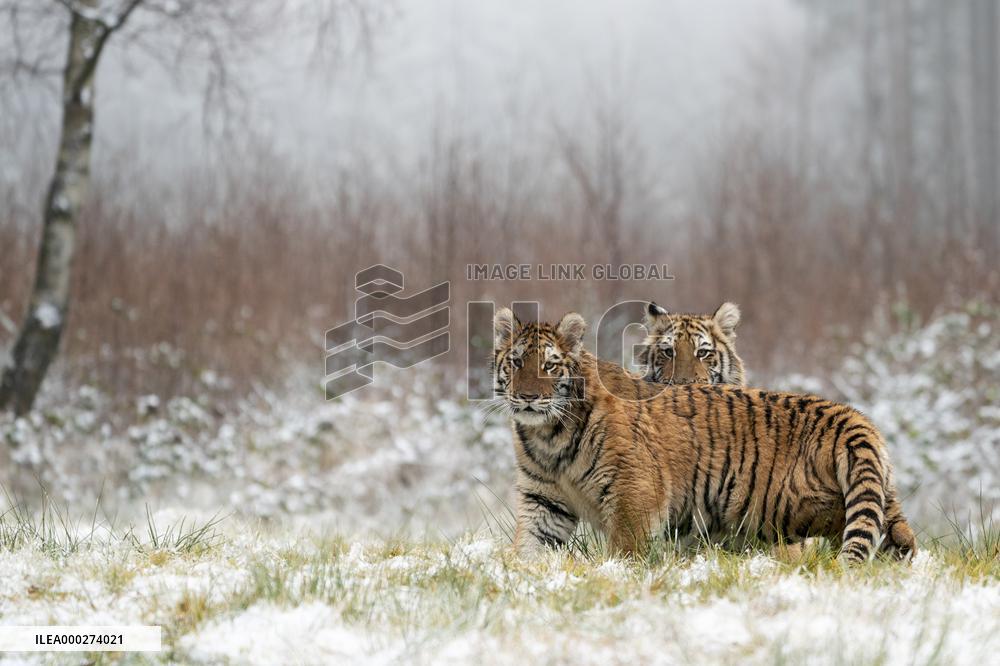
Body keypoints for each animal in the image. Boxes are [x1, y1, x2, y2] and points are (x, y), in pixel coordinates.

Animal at [491, 308, 915, 564]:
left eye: (549, 365)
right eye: (516, 362)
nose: (528, 397)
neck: (547, 434)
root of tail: (850, 416)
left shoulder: (635, 493)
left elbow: (626, 549)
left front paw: (618, 575)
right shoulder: (544, 500)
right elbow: (529, 547)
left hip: (777, 509)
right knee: (891, 526)